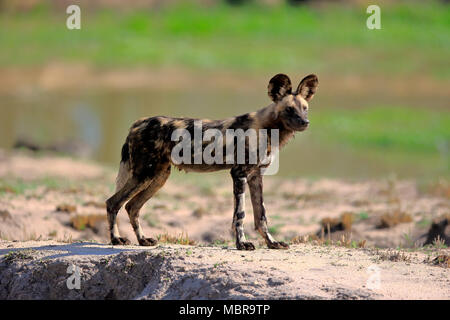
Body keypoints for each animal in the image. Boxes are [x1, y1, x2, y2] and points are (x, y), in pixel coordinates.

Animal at [106, 74, 318, 250]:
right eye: (289, 109)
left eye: (305, 109)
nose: (305, 122)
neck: (269, 130)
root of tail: (138, 122)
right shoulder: (239, 174)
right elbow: (240, 215)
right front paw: (242, 244)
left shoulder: (256, 177)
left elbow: (262, 216)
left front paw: (272, 243)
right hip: (144, 175)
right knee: (113, 202)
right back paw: (116, 239)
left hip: (158, 177)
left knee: (132, 207)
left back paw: (143, 240)